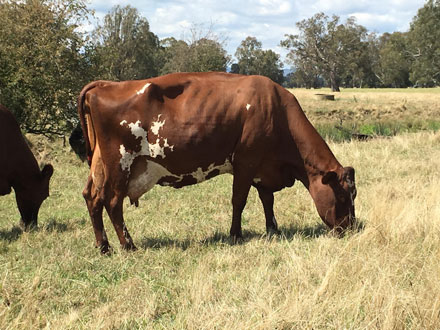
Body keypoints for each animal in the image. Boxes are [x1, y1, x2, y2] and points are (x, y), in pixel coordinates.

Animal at [75, 72, 356, 253]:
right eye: (343, 196)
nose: (351, 228)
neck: (277, 111)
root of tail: (104, 85)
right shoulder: (245, 163)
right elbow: (239, 201)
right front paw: (236, 235)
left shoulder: (262, 168)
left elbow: (267, 200)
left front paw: (272, 229)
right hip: (120, 162)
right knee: (113, 202)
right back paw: (128, 245)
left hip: (100, 165)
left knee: (92, 197)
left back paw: (104, 246)